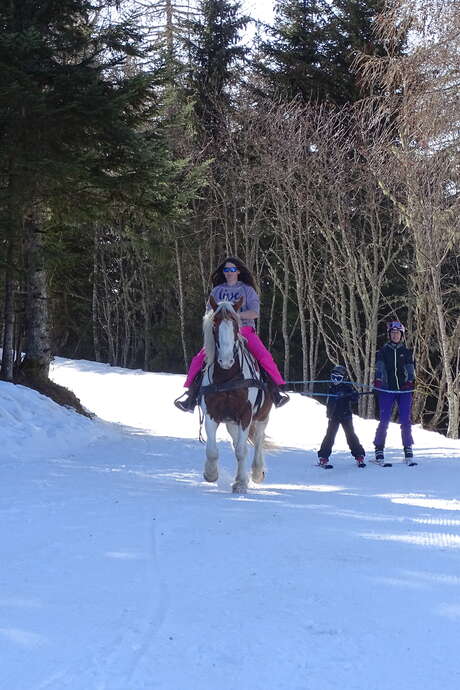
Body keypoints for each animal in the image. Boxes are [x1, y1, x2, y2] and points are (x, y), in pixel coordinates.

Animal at [199, 292, 274, 492]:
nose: (226, 361)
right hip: (232, 422)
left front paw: (240, 483)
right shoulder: (211, 413)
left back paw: (257, 472)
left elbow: (241, 451)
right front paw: (210, 474)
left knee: (258, 439)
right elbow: (212, 450)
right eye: (215, 324)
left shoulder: (246, 415)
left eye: (235, 325)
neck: (227, 378)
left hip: (262, 416)